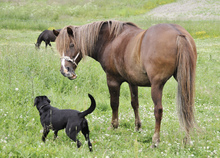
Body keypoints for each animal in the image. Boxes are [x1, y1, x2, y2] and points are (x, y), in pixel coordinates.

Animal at [53, 20, 198, 148]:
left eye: (71, 45)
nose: (65, 71)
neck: (111, 40)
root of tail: (178, 33)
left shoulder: (112, 80)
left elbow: (114, 103)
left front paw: (113, 125)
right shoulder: (132, 82)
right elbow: (135, 103)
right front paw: (138, 127)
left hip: (157, 86)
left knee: (158, 111)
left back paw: (155, 141)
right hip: (185, 81)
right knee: (186, 107)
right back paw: (187, 139)